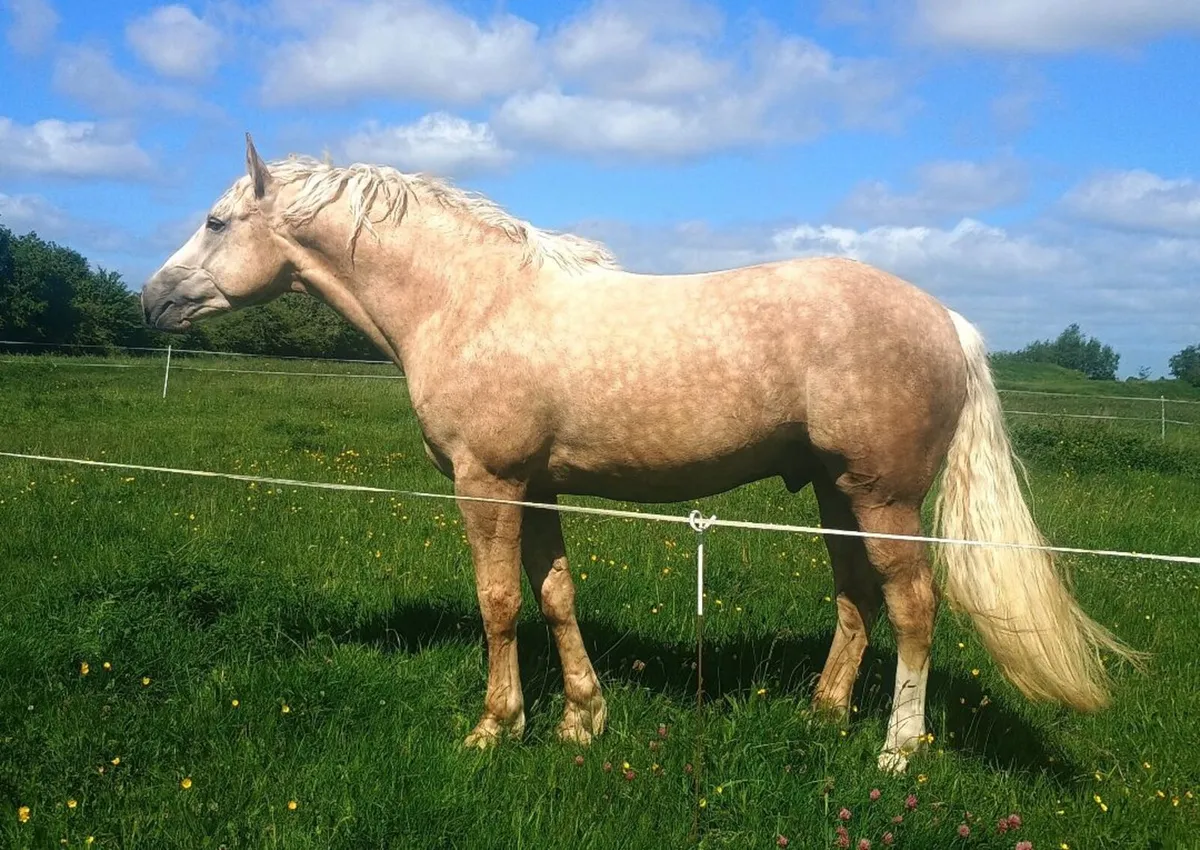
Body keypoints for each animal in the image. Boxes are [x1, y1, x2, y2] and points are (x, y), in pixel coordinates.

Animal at [141, 134, 1141, 772]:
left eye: (217, 223)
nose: (152, 299)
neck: (469, 301)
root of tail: (948, 320)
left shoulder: (487, 484)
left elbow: (499, 605)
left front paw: (495, 729)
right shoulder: (536, 488)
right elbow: (555, 596)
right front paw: (583, 722)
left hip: (882, 496)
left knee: (913, 606)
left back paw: (897, 752)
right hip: (833, 493)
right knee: (856, 600)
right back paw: (823, 715)